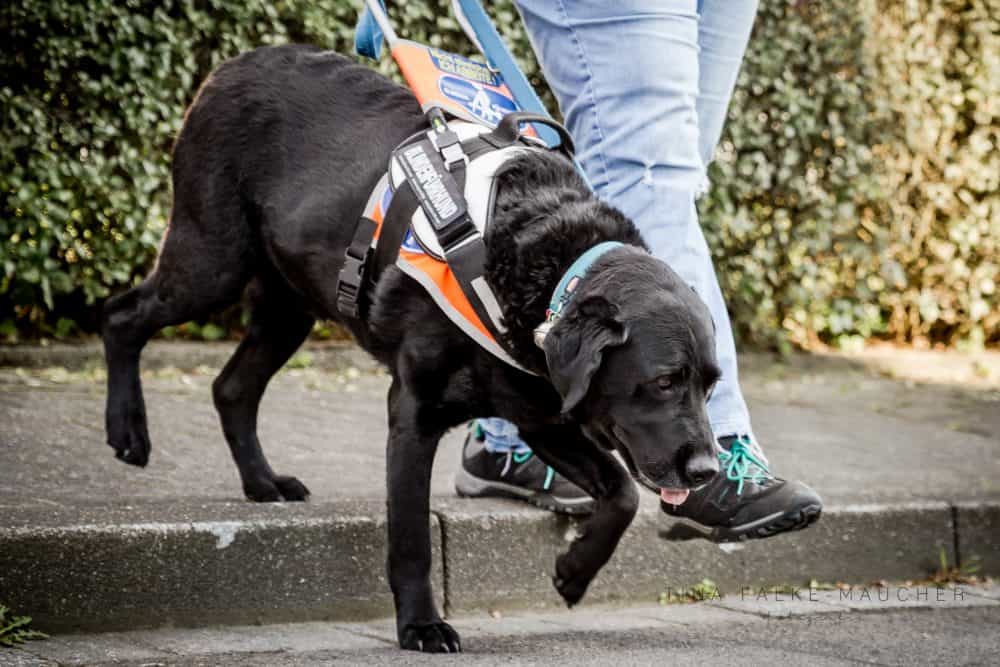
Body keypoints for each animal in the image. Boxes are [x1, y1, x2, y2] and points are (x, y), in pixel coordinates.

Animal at [101, 45, 724, 652]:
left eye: (710, 384)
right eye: (663, 381)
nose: (707, 471)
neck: (537, 265)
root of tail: (236, 64)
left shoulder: (539, 414)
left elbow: (621, 493)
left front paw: (574, 571)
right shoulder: (414, 412)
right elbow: (411, 536)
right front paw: (421, 626)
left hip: (287, 306)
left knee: (231, 388)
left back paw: (262, 483)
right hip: (212, 258)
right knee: (122, 316)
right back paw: (128, 430)